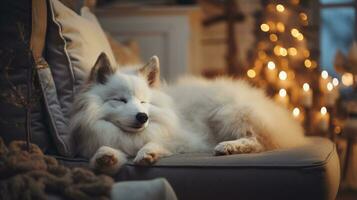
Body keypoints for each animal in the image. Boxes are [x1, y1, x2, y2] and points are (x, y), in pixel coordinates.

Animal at [70, 53, 306, 175]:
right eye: (120, 100)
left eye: (144, 102)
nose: (142, 117)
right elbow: (106, 152)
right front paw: (105, 157)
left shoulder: (183, 139)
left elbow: (156, 143)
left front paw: (148, 153)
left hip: (227, 112)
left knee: (258, 141)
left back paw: (229, 146)